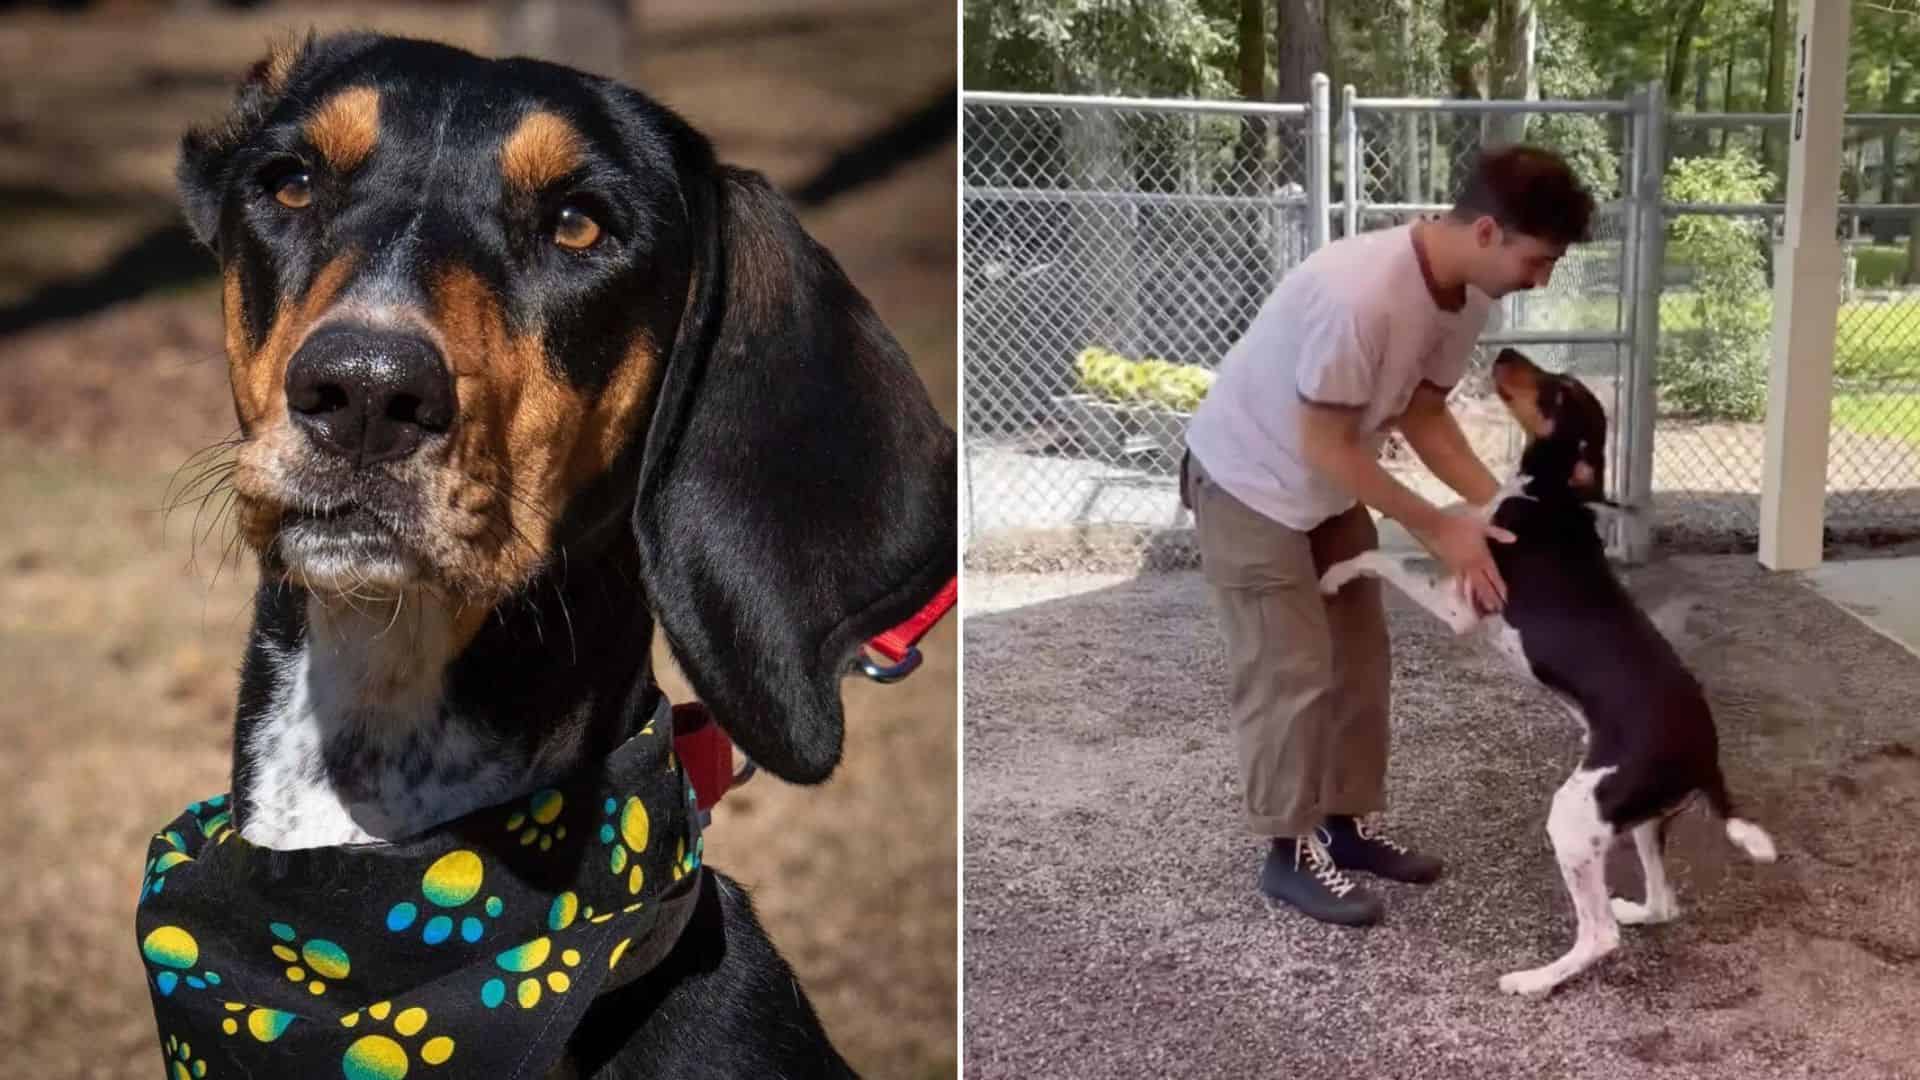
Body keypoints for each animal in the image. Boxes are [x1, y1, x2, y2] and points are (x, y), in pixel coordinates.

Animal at [1328, 349, 1774, 999]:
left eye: (1560, 392)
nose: (1504, 353)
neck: (1552, 494)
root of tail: (1707, 757)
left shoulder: (1463, 606)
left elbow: (1385, 556)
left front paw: (1337, 571)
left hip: (1573, 816)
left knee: (1599, 935)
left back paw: (1535, 979)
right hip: (1637, 821)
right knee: (1662, 904)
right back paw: (1635, 911)